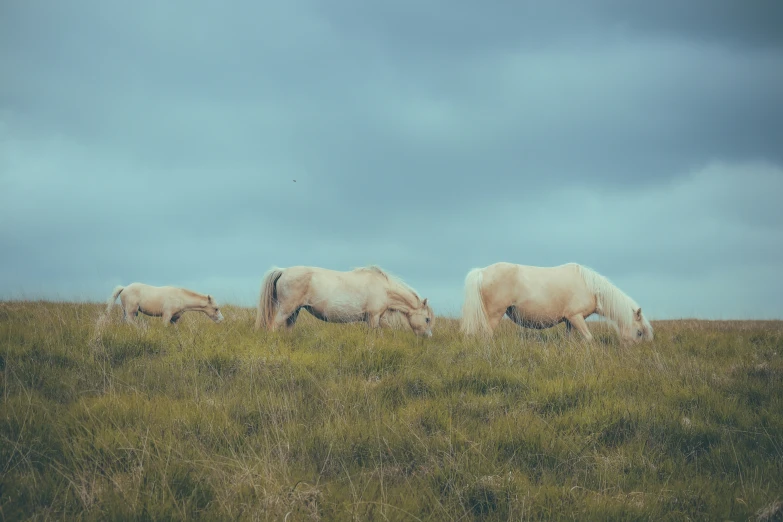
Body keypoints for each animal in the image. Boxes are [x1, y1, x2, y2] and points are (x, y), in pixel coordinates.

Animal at [256, 264, 434, 338]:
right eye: (427, 319)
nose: (428, 337)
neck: (383, 288)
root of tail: (283, 271)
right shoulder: (373, 317)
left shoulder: (377, 318)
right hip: (286, 310)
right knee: (272, 327)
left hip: (294, 312)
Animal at [462, 262, 652, 344]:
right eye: (639, 332)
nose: (632, 354)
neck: (590, 287)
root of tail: (482, 272)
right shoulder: (576, 317)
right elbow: (588, 338)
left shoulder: (569, 321)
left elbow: (569, 339)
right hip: (494, 315)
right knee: (487, 335)